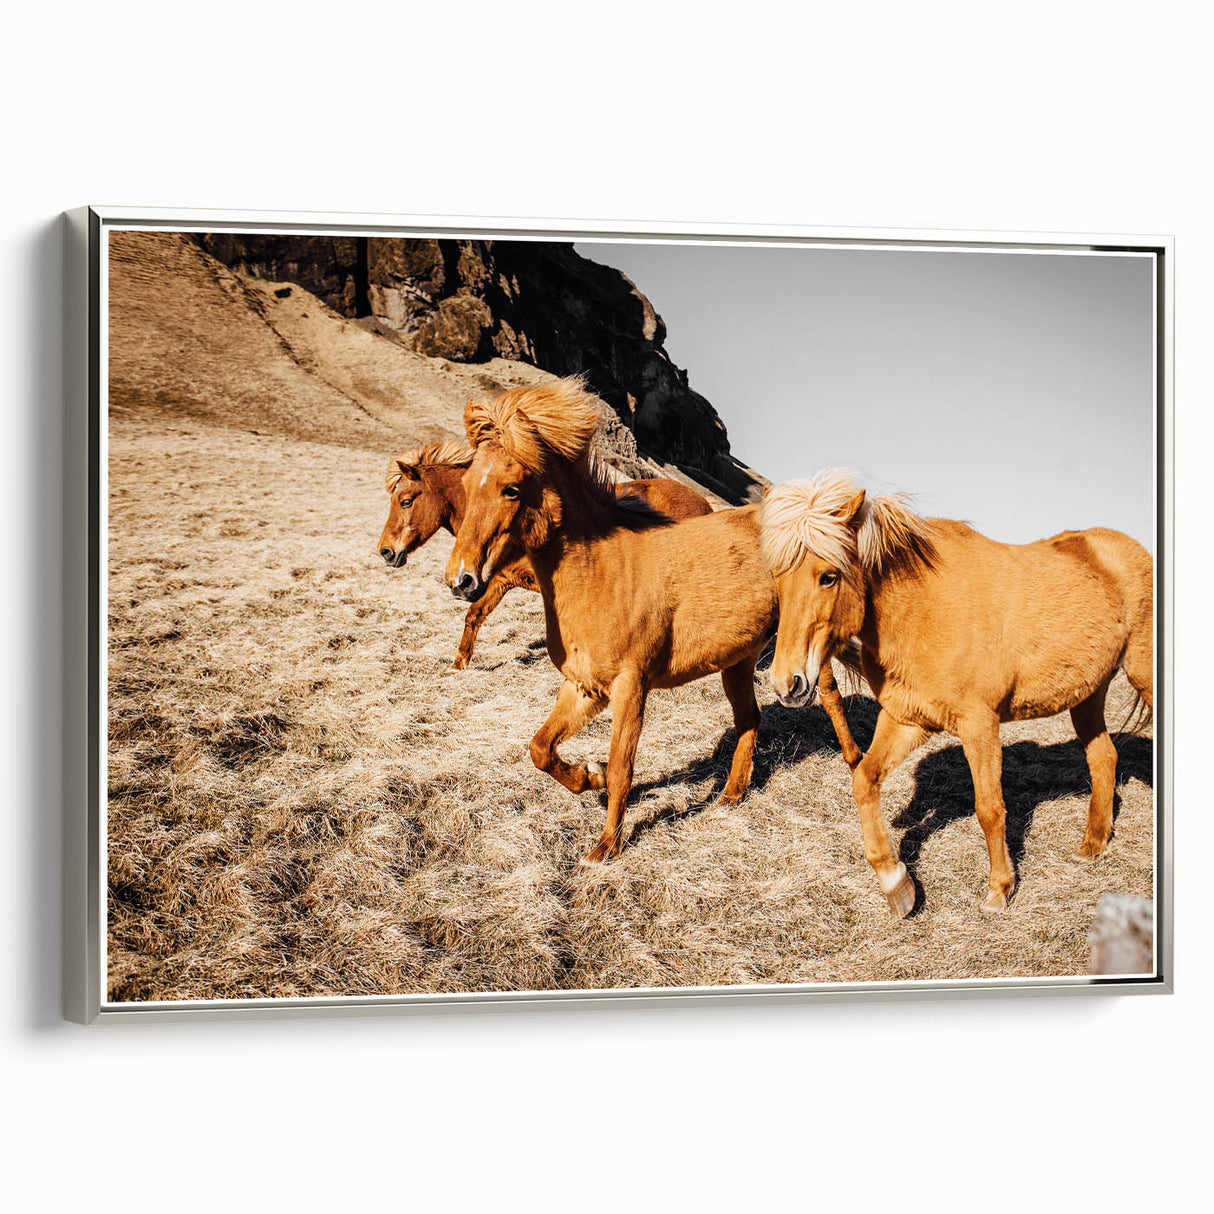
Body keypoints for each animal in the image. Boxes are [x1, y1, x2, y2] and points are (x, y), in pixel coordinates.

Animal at [378, 439, 713, 668]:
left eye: (406, 501)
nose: (385, 551)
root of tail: (703, 504)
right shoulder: (499, 581)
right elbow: (474, 615)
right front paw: (458, 664)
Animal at [443, 377, 862, 864]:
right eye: (466, 482)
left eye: (511, 488)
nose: (460, 579)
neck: (602, 571)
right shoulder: (584, 686)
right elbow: (540, 749)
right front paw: (589, 776)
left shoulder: (631, 687)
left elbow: (623, 766)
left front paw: (606, 846)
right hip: (738, 661)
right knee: (750, 718)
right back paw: (731, 795)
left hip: (802, 646)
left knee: (828, 695)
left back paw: (854, 761)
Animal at [760, 469, 1154, 916]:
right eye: (777, 577)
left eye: (828, 576)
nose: (787, 684)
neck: (922, 608)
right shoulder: (907, 718)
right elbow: (864, 779)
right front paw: (896, 882)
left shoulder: (979, 723)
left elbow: (989, 808)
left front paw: (1000, 890)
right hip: (1088, 695)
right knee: (1103, 758)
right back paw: (1092, 846)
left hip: (1143, 674)